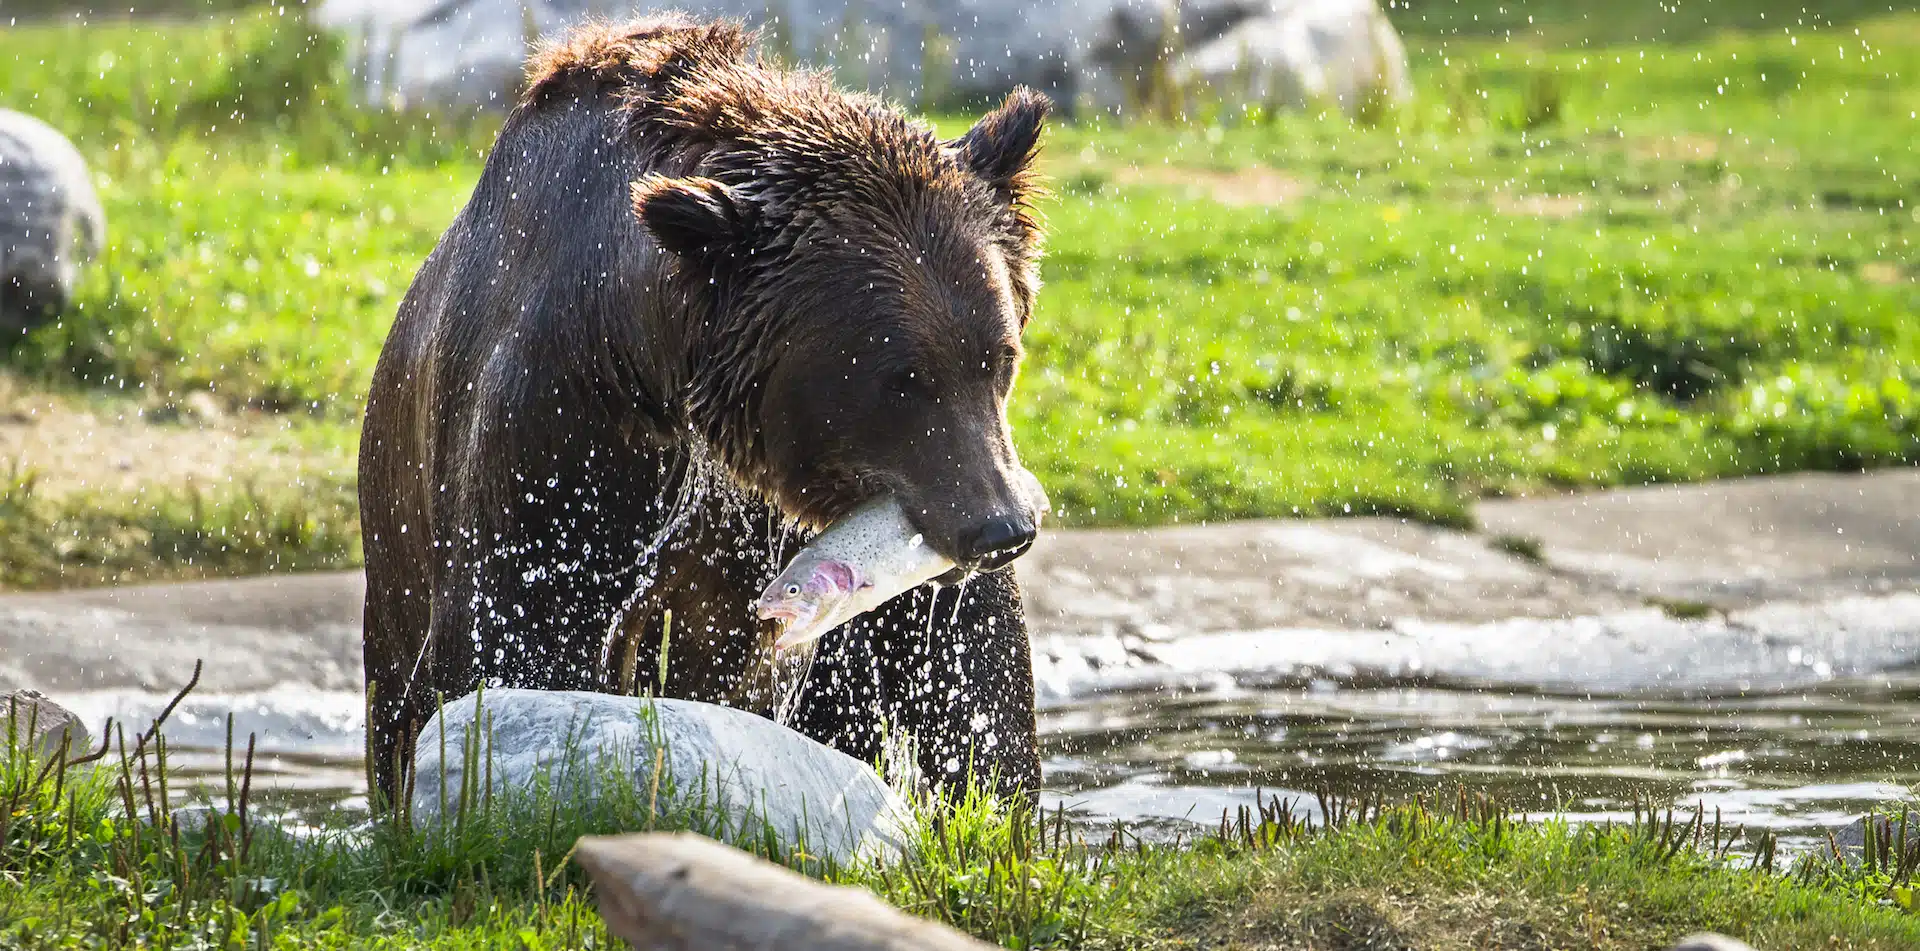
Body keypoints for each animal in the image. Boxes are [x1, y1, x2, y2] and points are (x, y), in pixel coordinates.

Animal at [360, 14, 1052, 803]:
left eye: (998, 357)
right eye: (900, 381)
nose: (1003, 528)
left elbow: (969, 675)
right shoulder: (552, 439)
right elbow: (514, 636)